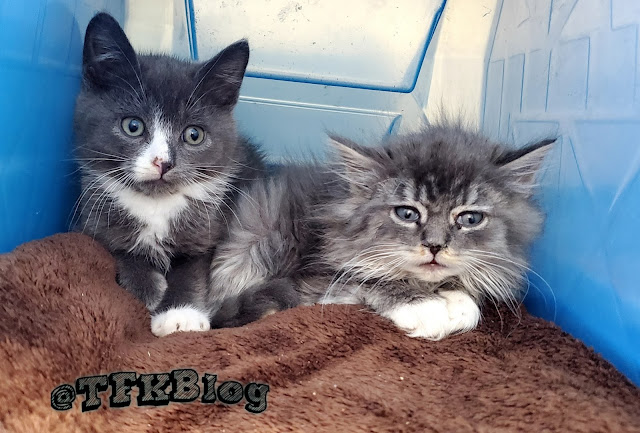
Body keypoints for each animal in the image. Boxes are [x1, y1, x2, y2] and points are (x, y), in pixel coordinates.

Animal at [73, 12, 264, 337]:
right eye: (133, 126)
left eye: (194, 135)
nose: (164, 163)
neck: (156, 205)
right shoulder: (92, 220)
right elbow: (120, 251)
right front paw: (149, 287)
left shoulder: (209, 231)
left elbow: (192, 270)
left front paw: (180, 315)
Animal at [202, 124, 554, 340]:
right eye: (407, 213)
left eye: (470, 218)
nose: (434, 245)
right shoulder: (316, 279)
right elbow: (373, 281)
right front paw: (426, 308)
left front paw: (460, 302)